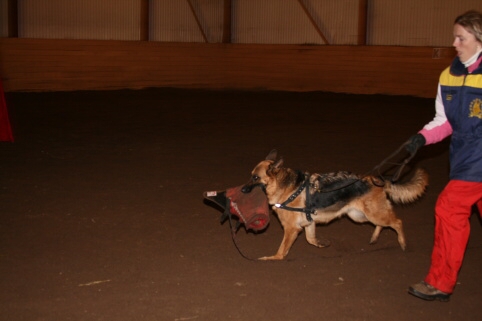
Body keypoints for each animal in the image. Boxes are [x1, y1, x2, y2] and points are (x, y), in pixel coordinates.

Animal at [243, 149, 428, 258]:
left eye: (255, 177)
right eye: (251, 176)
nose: (243, 190)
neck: (285, 186)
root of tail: (377, 179)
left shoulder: (291, 228)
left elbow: (281, 251)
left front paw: (271, 259)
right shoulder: (309, 223)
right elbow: (311, 239)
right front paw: (321, 243)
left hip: (372, 214)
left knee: (397, 222)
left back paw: (403, 244)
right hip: (360, 216)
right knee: (382, 224)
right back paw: (374, 238)